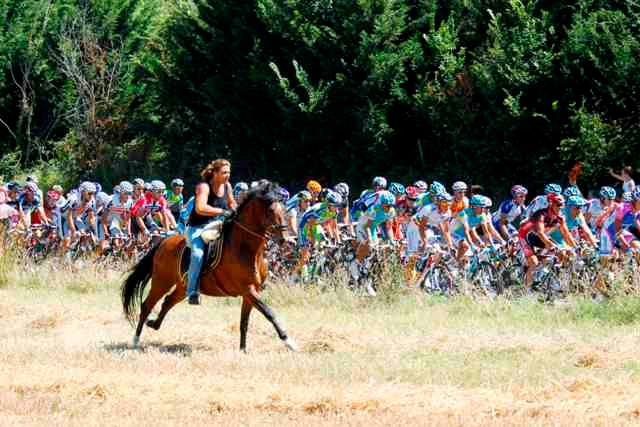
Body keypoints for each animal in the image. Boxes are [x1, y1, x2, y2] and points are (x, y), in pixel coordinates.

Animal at [122, 182, 298, 352]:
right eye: (270, 210)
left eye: (284, 209)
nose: (285, 239)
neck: (246, 249)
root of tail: (163, 242)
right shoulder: (247, 289)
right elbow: (269, 313)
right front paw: (289, 342)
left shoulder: (251, 292)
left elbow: (244, 322)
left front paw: (243, 350)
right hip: (161, 282)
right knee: (147, 305)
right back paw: (135, 340)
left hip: (183, 286)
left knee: (167, 302)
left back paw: (153, 324)